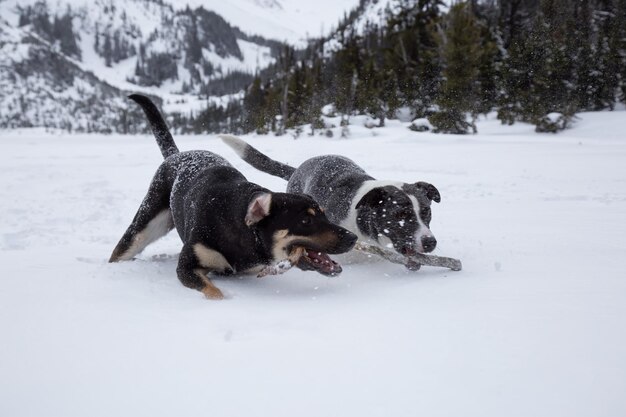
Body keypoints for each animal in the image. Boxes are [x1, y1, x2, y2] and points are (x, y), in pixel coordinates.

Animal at [108, 95, 356, 298]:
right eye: (305, 220)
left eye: (324, 214)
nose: (353, 237)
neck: (239, 227)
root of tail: (176, 155)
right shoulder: (187, 267)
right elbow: (215, 292)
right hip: (142, 228)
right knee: (122, 250)